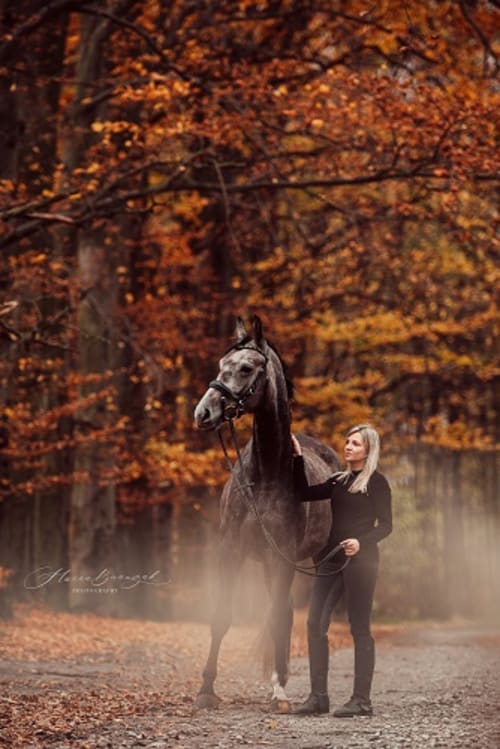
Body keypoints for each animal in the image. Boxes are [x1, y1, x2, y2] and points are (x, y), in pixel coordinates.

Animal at [193, 315, 340, 712]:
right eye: (220, 365)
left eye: (246, 368)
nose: (203, 413)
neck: (266, 474)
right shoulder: (231, 551)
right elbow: (220, 616)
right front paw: (206, 689)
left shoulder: (283, 557)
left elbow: (275, 618)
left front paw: (278, 692)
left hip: (309, 560)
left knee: (284, 614)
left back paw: (283, 682)